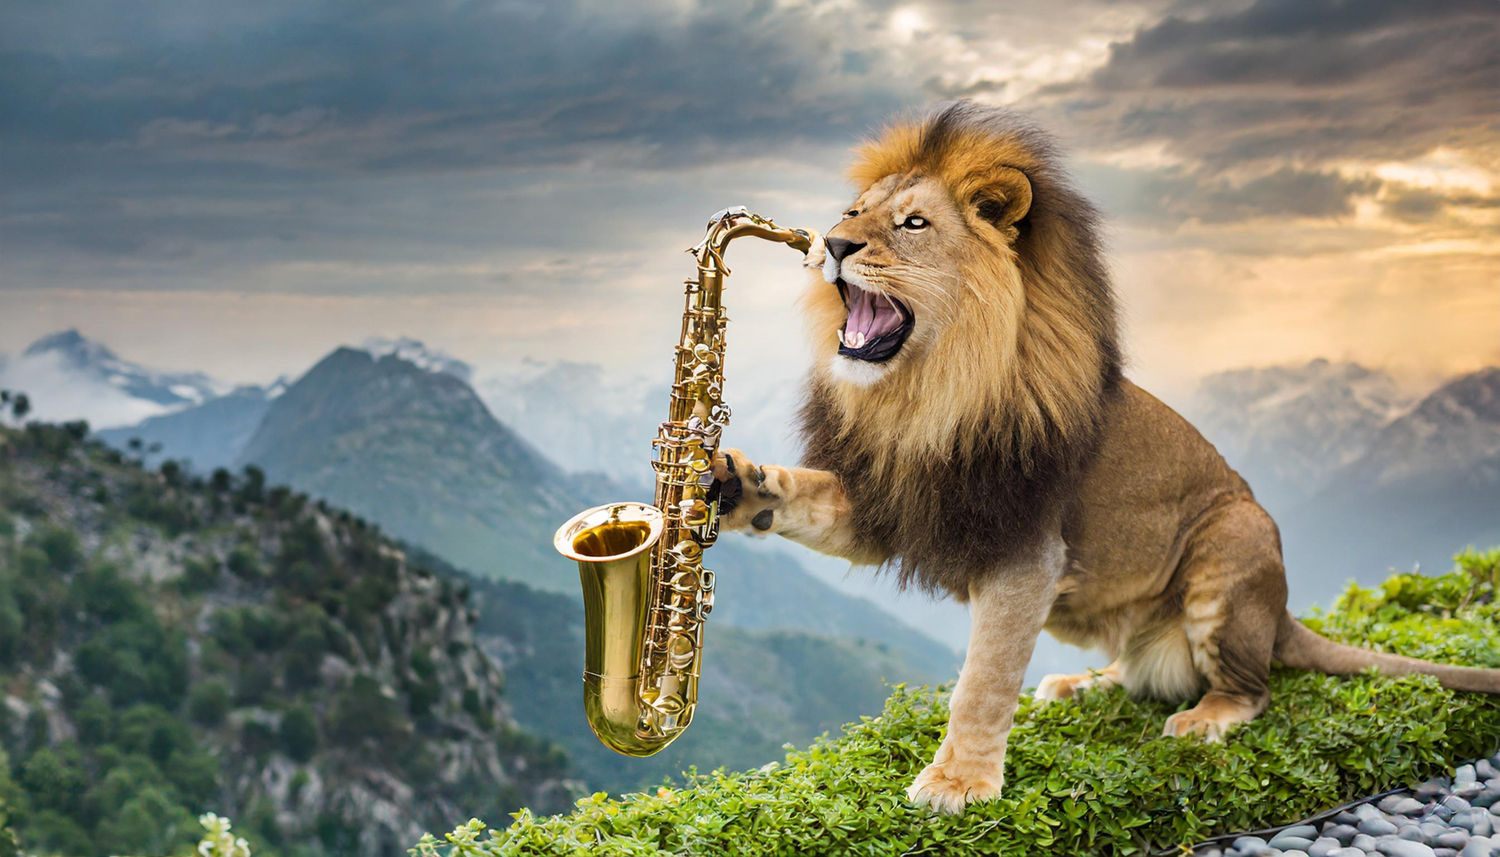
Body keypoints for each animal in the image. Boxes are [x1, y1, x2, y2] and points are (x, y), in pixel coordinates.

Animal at [710, 101, 1500, 814]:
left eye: (913, 224)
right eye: (852, 210)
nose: (831, 244)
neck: (924, 395)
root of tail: (1280, 614)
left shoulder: (1025, 549)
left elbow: (983, 679)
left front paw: (957, 783)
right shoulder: (896, 499)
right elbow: (808, 496)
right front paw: (736, 483)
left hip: (1235, 538)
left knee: (1252, 688)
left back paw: (1203, 717)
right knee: (1142, 667)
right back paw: (1081, 684)